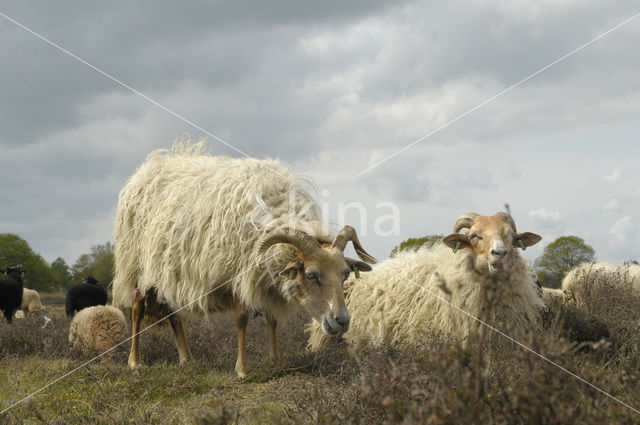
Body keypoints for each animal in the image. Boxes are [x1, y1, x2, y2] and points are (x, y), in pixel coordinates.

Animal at [112, 140, 376, 374]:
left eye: (345, 275)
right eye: (311, 275)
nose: (342, 321)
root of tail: (150, 166)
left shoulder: (264, 278)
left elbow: (272, 319)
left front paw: (275, 359)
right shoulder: (235, 273)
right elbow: (241, 320)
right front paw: (242, 369)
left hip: (164, 270)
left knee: (172, 313)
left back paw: (187, 359)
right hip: (136, 265)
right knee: (136, 310)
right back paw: (135, 361)